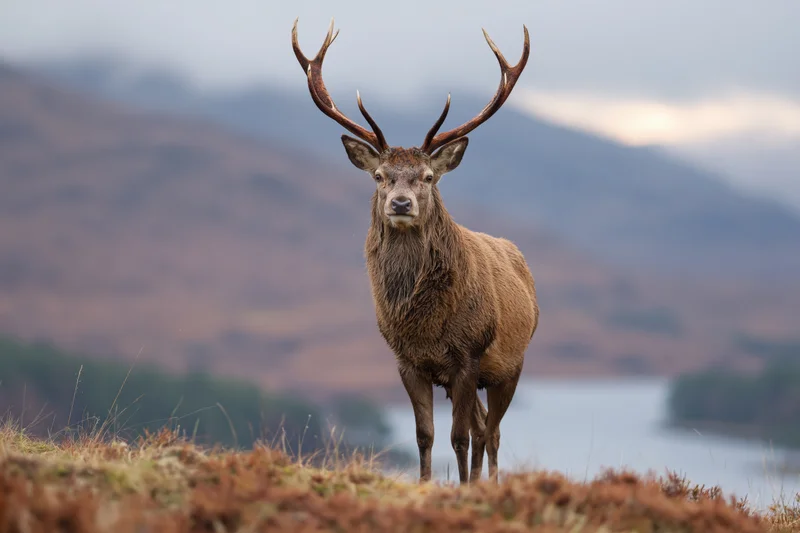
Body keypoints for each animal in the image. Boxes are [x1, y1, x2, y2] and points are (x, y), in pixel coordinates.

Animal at [292, 18, 539, 485]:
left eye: (427, 176)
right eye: (379, 176)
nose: (401, 204)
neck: (425, 327)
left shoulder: (467, 356)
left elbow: (459, 438)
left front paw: (462, 487)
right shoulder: (407, 361)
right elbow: (425, 435)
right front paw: (426, 485)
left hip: (510, 365)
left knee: (491, 432)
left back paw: (488, 482)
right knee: (484, 426)